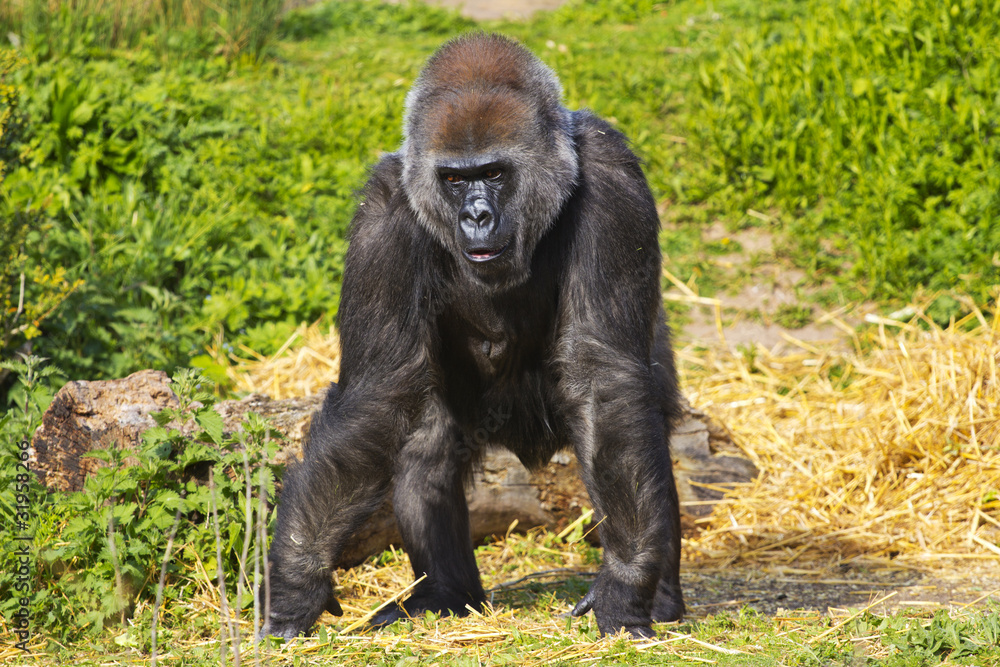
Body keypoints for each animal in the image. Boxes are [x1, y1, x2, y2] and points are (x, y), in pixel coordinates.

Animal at [262, 33, 685, 641]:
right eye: (455, 179)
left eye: (495, 173)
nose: (477, 217)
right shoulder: (382, 213)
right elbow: (378, 393)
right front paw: (298, 577)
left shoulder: (613, 179)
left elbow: (602, 378)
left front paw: (626, 586)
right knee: (426, 444)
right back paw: (447, 593)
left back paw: (664, 596)